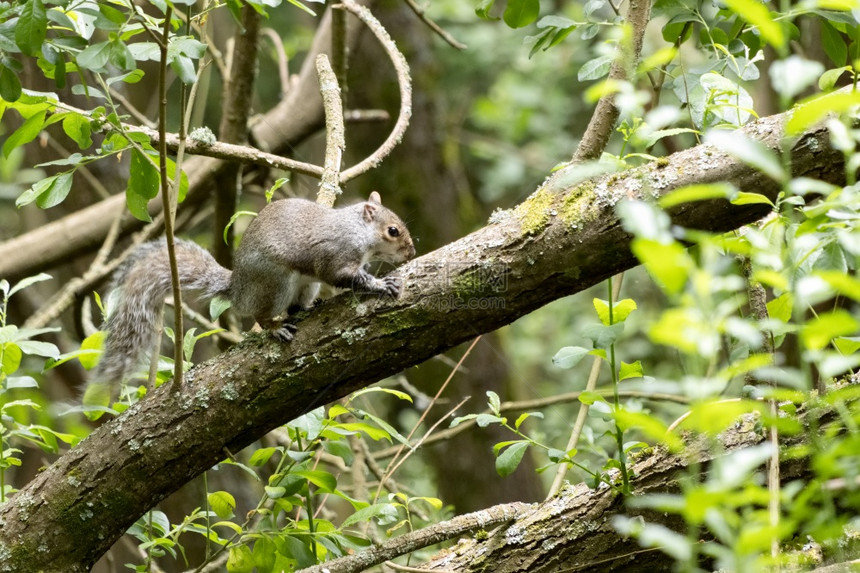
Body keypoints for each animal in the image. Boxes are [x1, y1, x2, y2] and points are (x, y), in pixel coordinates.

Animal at [85, 190, 414, 404]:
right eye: (393, 231)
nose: (411, 252)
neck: (357, 230)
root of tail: (238, 287)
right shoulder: (336, 257)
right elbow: (347, 277)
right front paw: (381, 284)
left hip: (303, 286)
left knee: (295, 306)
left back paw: (308, 307)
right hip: (276, 282)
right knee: (260, 314)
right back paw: (275, 327)